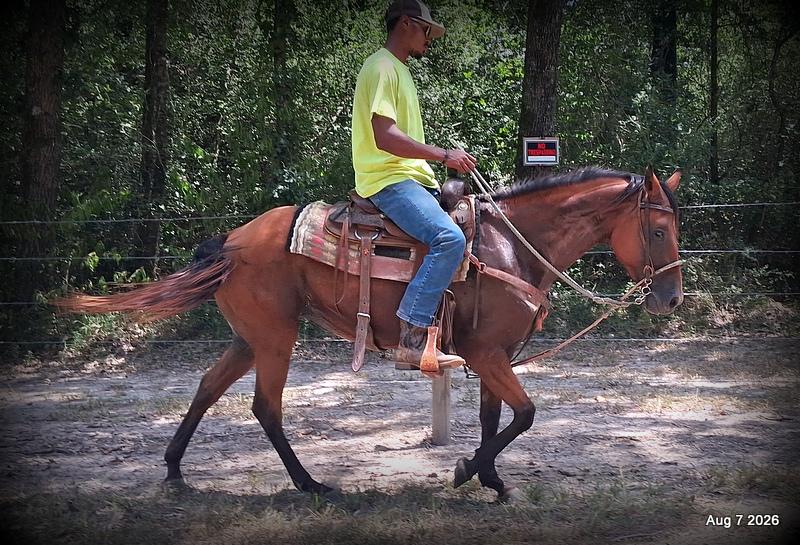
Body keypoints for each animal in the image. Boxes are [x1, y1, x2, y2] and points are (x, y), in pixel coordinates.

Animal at [57, 166, 683, 499]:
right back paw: (309, 484)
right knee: (265, 407)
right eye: (656, 231)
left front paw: (490, 480)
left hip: (249, 337)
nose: (672, 299)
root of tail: (231, 243)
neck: (512, 247)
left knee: (209, 388)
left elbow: (494, 420)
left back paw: (174, 470)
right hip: (275, 339)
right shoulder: (485, 352)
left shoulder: (494, 355)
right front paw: (468, 472)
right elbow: (525, 415)